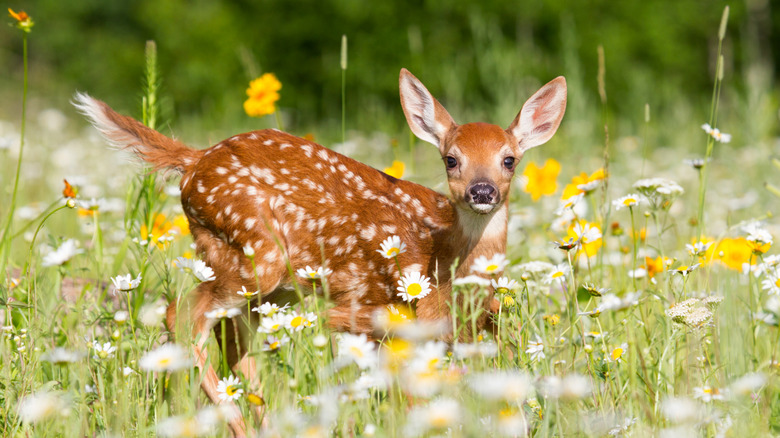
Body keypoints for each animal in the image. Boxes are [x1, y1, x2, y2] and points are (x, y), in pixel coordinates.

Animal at [74, 68, 566, 436]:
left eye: (509, 160)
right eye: (451, 159)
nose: (482, 191)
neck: (441, 259)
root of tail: (194, 160)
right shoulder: (377, 316)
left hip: (266, 283)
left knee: (232, 338)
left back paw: (266, 424)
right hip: (255, 254)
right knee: (182, 315)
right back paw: (240, 423)